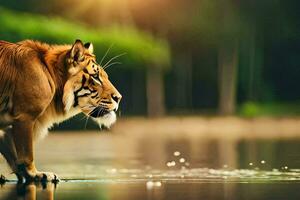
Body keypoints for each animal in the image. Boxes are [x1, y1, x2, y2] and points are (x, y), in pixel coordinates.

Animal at [0, 38, 122, 181]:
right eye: (96, 77)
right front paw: (36, 174)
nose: (119, 98)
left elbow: (13, 154)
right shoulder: (25, 117)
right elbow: (26, 153)